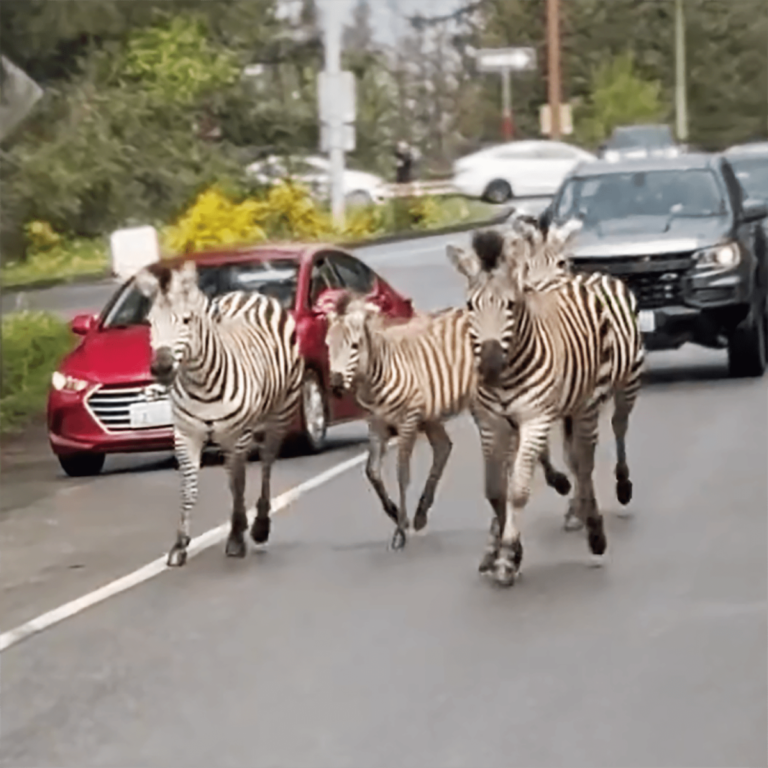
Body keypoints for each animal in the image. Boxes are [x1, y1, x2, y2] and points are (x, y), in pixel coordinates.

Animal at [135, 260, 304, 568]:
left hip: (279, 415)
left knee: (265, 464)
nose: (161, 368)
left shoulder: (238, 434)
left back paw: (260, 526)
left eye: (186, 320)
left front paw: (236, 538)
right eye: (150, 322)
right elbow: (190, 488)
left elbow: (239, 483)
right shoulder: (186, 435)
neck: (201, 382)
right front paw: (180, 545)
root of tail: (250, 294)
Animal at [320, 294, 572, 552]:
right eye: (328, 346)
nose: (336, 385)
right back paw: (422, 513)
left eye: (354, 346)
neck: (378, 372)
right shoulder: (377, 424)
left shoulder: (408, 420)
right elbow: (372, 472)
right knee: (445, 447)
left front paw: (400, 529)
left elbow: (402, 473)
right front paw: (395, 513)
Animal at [444, 225, 616, 584]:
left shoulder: (535, 419)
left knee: (583, 464)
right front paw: (503, 550)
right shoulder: (491, 424)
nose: (490, 366)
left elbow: (518, 491)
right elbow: (495, 490)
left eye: (510, 305)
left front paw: (509, 556)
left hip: (586, 405)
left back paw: (594, 533)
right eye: (470, 305)